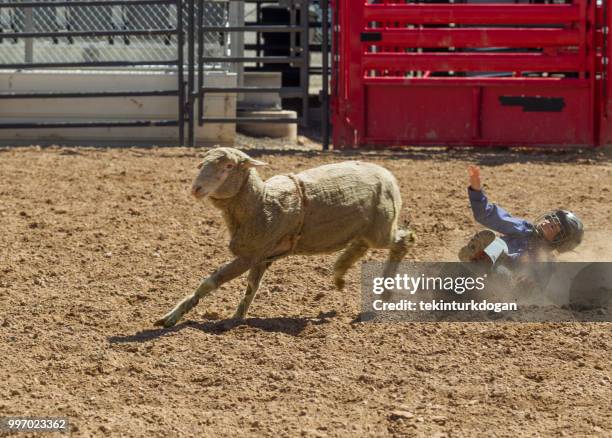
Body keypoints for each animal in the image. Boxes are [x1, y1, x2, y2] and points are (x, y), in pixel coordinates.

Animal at [154, 148, 416, 328]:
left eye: (228, 166)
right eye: (201, 164)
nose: (196, 189)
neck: (260, 202)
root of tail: (388, 174)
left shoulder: (250, 255)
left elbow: (209, 283)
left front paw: (171, 317)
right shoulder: (262, 257)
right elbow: (252, 287)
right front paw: (237, 317)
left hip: (381, 227)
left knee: (403, 242)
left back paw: (382, 295)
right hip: (364, 229)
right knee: (361, 247)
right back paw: (340, 274)